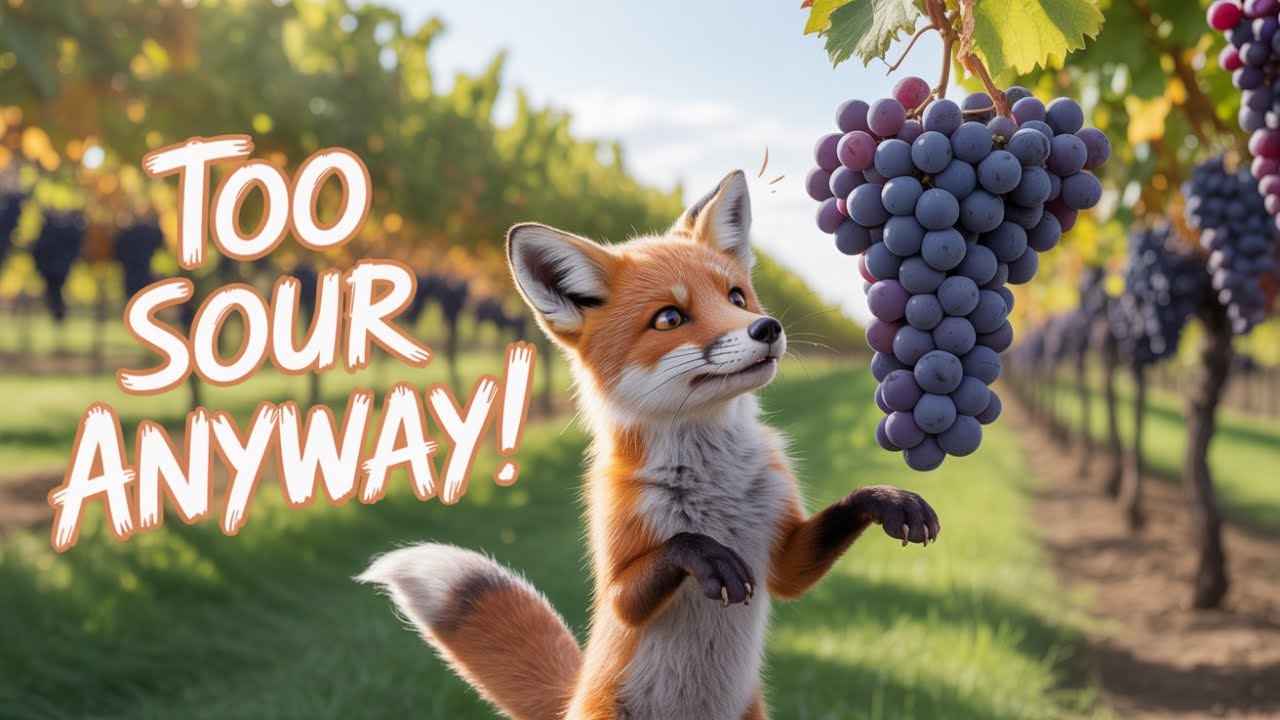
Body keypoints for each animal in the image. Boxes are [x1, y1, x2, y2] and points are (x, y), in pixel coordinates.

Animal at [358, 170, 941, 720]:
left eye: (735, 296)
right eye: (669, 318)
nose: (767, 327)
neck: (715, 488)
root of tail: (572, 695)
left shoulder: (781, 555)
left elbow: (828, 530)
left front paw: (889, 500)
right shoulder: (619, 570)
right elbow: (663, 559)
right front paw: (704, 552)